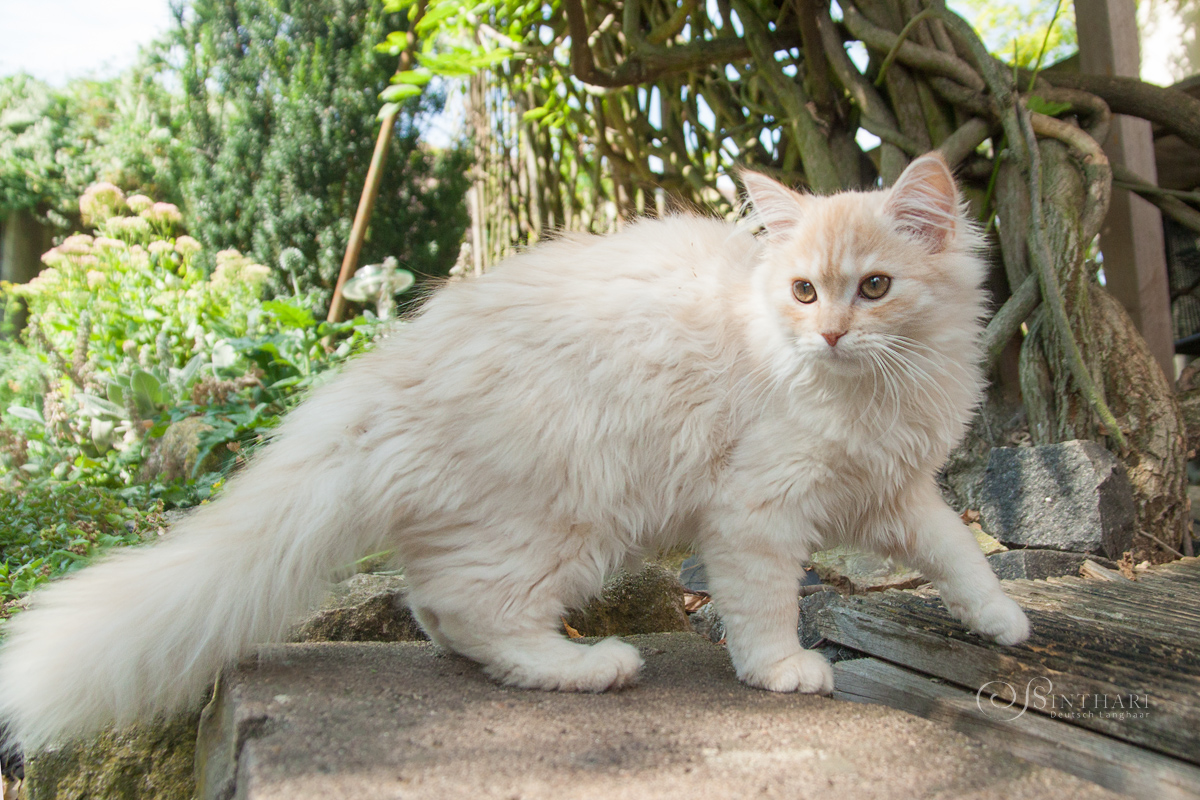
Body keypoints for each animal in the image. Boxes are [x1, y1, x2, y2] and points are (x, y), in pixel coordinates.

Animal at [0, 151, 1032, 753]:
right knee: (473, 609)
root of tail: (381, 383)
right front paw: (783, 671)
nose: (827, 337)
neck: (872, 391)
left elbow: (957, 550)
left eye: (874, 287)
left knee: (437, 607)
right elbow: (765, 605)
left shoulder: (893, 491)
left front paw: (1002, 621)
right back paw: (591, 665)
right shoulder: (758, 511)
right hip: (568, 517)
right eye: (804, 292)